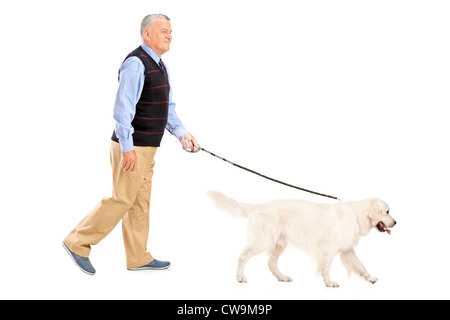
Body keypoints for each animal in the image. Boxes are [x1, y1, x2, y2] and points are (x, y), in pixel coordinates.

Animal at [206, 190, 396, 288]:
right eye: (387, 212)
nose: (395, 222)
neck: (355, 214)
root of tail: (257, 206)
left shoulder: (347, 250)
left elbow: (361, 266)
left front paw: (370, 278)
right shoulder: (330, 249)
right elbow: (326, 268)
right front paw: (329, 283)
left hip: (278, 243)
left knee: (271, 263)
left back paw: (282, 277)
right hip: (263, 241)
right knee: (242, 256)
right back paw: (240, 277)